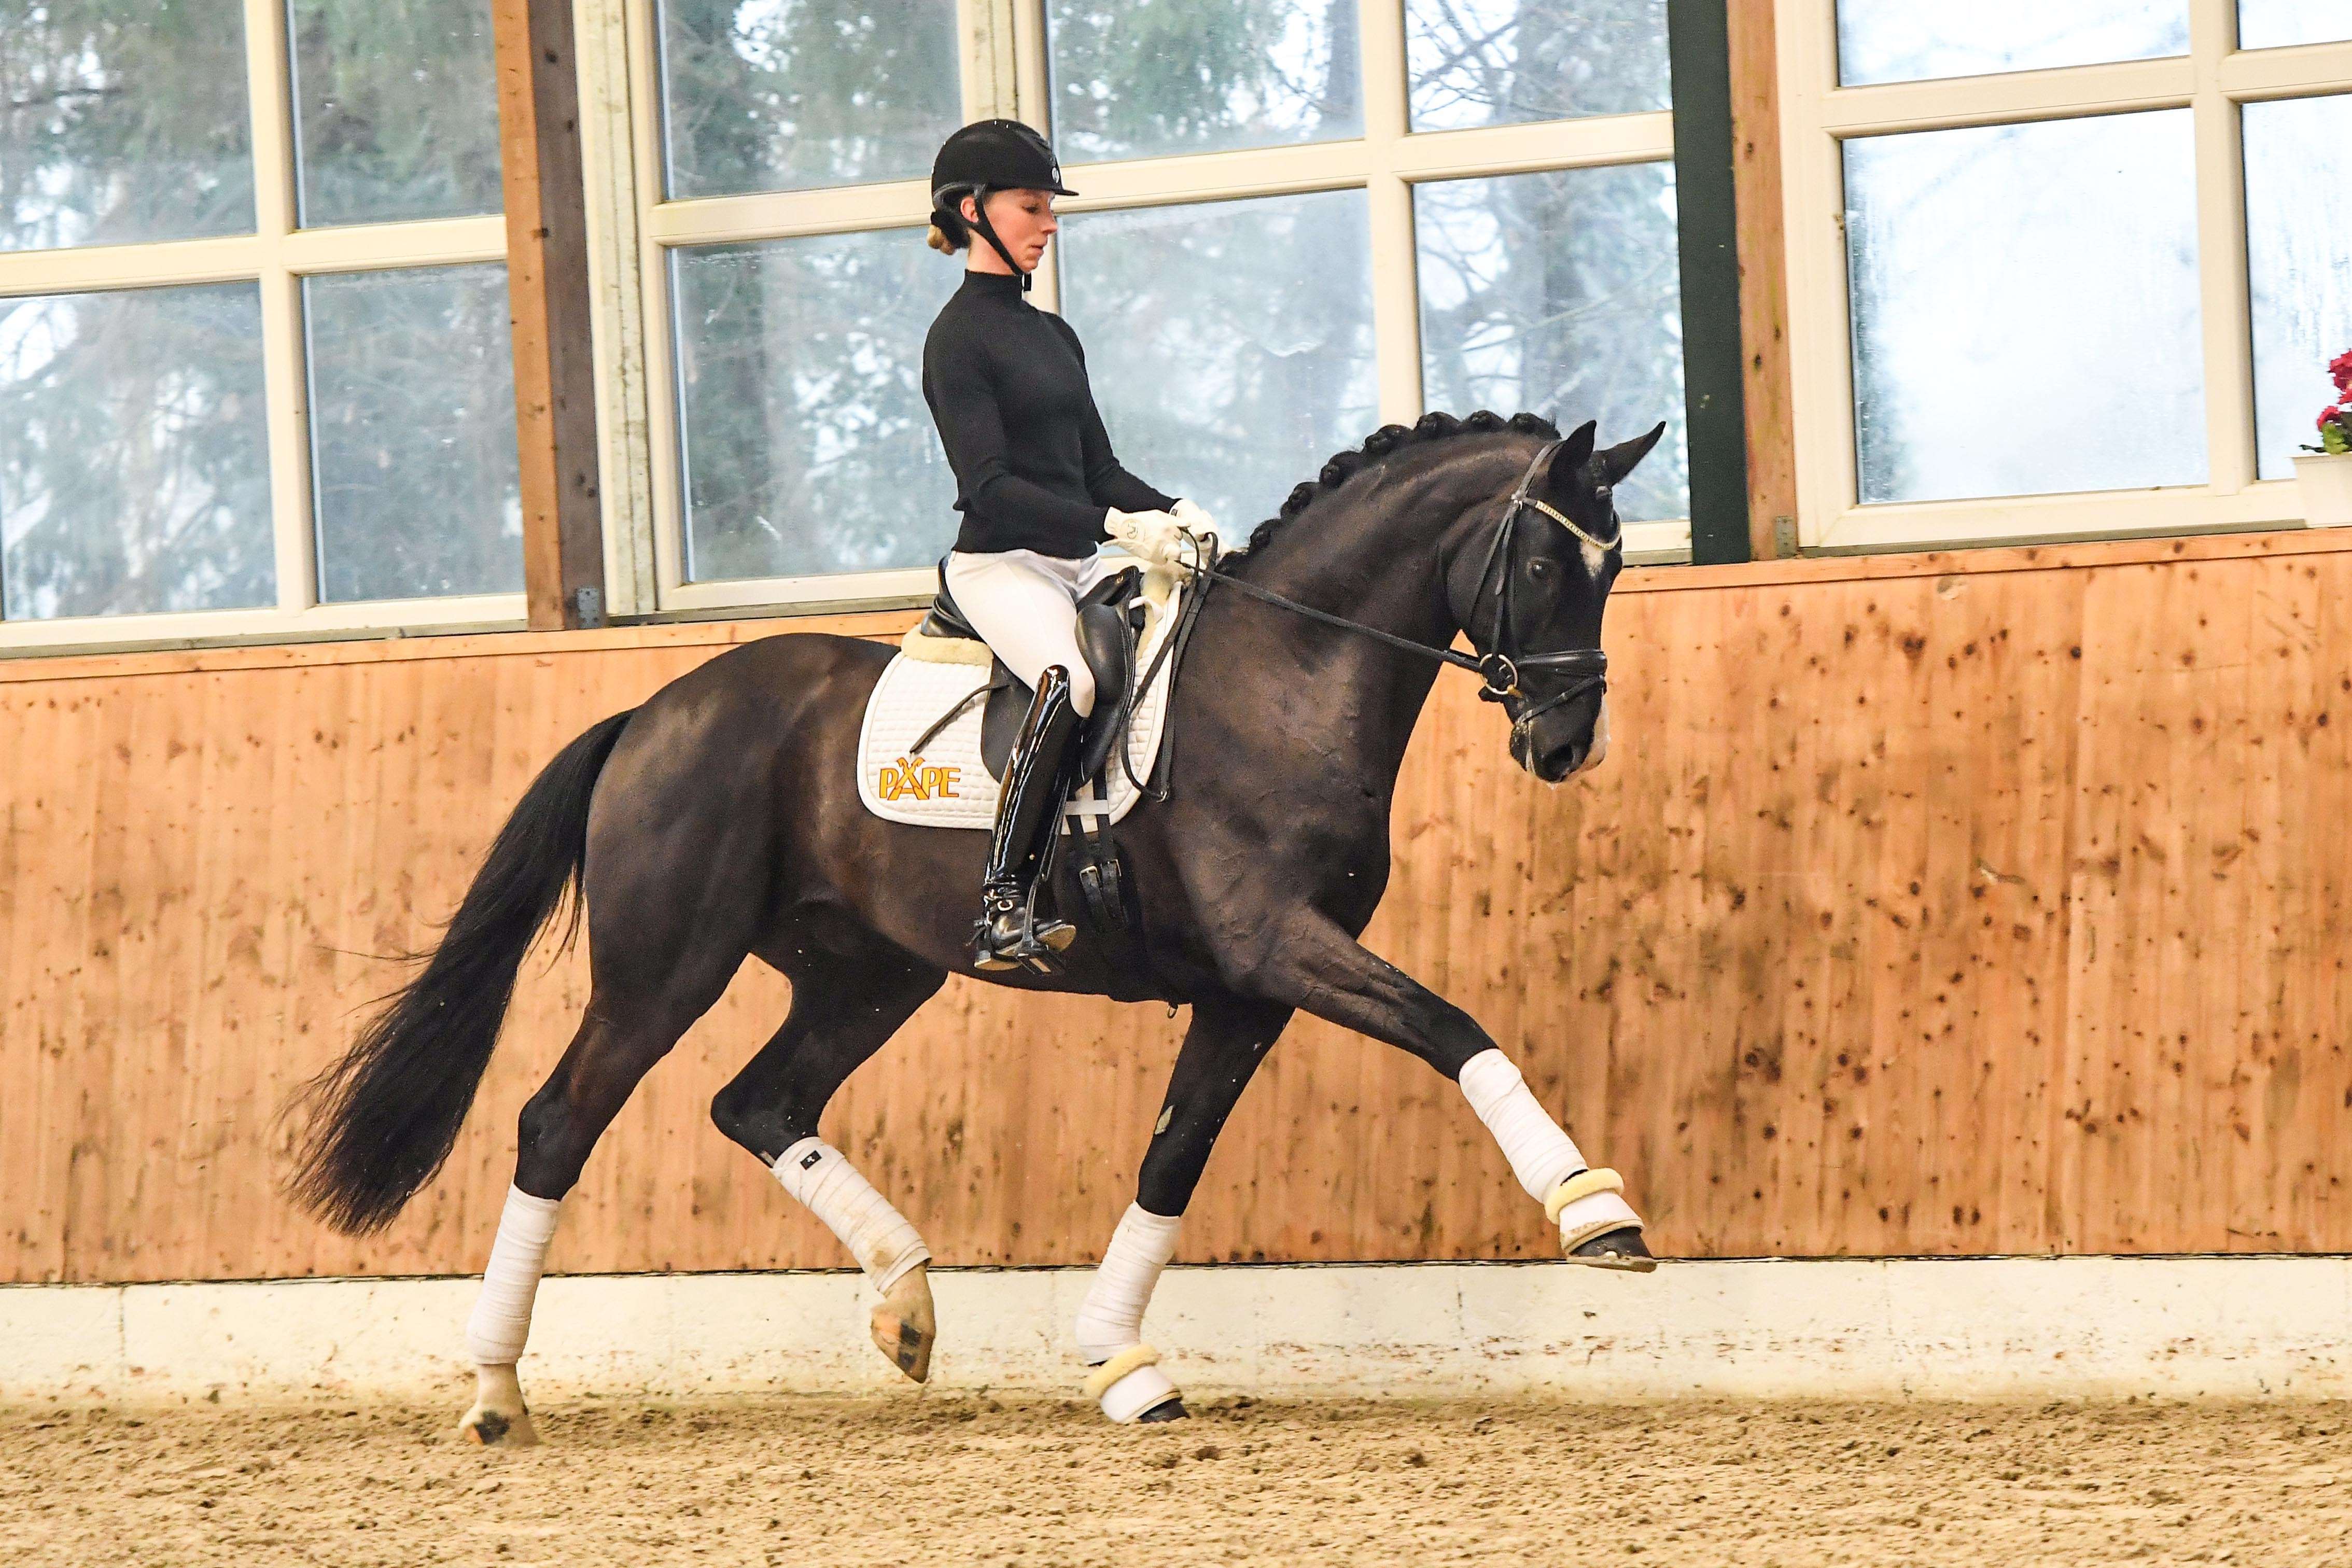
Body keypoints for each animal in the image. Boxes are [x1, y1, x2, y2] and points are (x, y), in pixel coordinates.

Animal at [288, 406, 1670, 1443]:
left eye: (1613, 570)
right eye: (1542, 567)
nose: (1567, 744)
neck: (1286, 679)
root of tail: (655, 712)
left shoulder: (1248, 988)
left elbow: (1173, 1161)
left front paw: (1120, 1363)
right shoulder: (1280, 946)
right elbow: (1456, 1029)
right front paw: (1594, 1213)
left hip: (870, 974)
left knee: (759, 1103)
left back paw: (905, 1305)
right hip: (665, 970)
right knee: (558, 1122)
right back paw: (494, 1389)